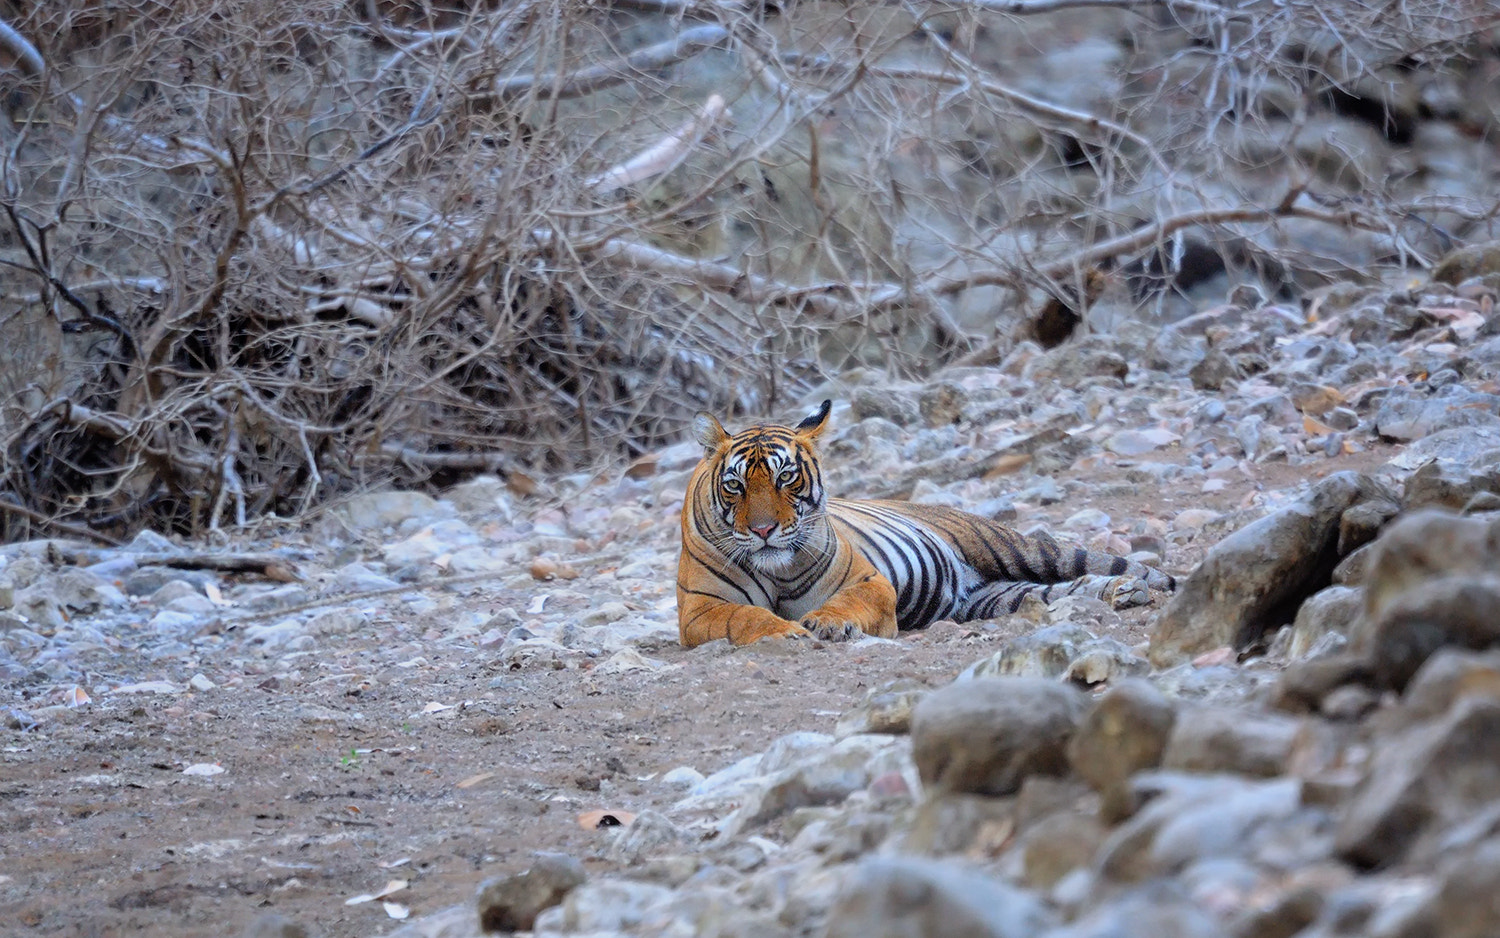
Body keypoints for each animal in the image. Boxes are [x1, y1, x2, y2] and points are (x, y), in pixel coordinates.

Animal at [675, 399, 1176, 648]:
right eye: (736, 485)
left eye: (785, 477)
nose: (763, 532)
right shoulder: (701, 609)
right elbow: (744, 616)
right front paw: (784, 631)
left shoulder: (867, 579)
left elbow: (846, 603)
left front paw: (828, 625)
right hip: (995, 598)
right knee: (1059, 592)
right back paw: (1119, 594)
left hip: (1018, 547)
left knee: (1096, 565)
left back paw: (1140, 587)